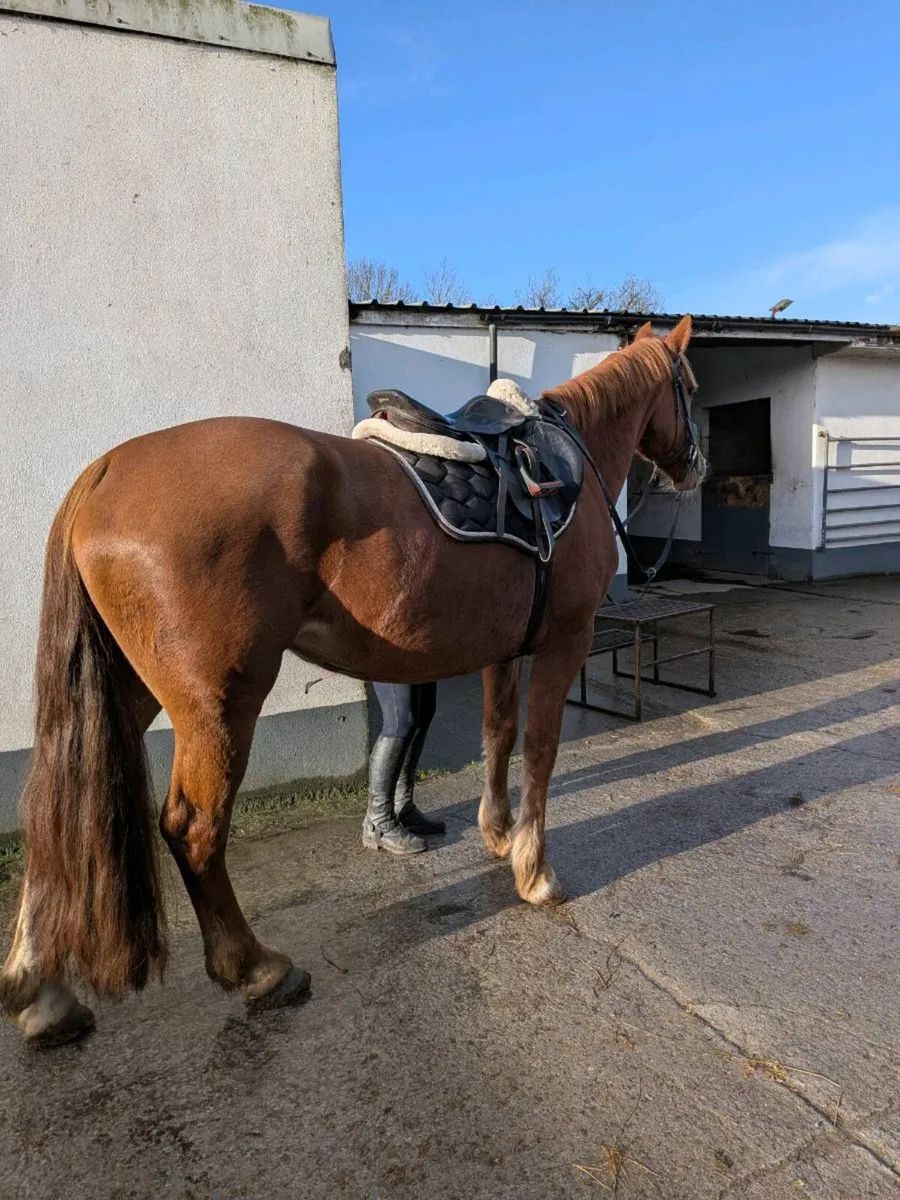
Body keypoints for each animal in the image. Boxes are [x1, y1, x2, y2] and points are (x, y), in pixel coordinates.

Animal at [0, 315, 704, 1047]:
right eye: (689, 385)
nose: (695, 466)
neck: (565, 469)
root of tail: (103, 471)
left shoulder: (505, 649)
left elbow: (499, 735)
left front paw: (498, 833)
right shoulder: (564, 642)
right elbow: (539, 750)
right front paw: (535, 871)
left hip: (129, 690)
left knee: (52, 815)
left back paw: (39, 991)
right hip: (217, 705)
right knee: (193, 831)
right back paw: (256, 967)